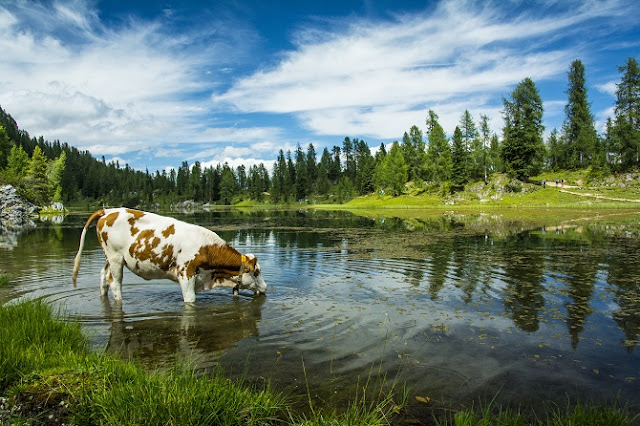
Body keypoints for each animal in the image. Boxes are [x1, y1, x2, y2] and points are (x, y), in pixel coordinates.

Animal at [71, 207, 266, 302]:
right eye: (256, 272)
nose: (265, 288)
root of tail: (108, 211)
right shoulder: (186, 274)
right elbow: (190, 300)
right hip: (115, 258)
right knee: (114, 283)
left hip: (110, 258)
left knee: (103, 276)